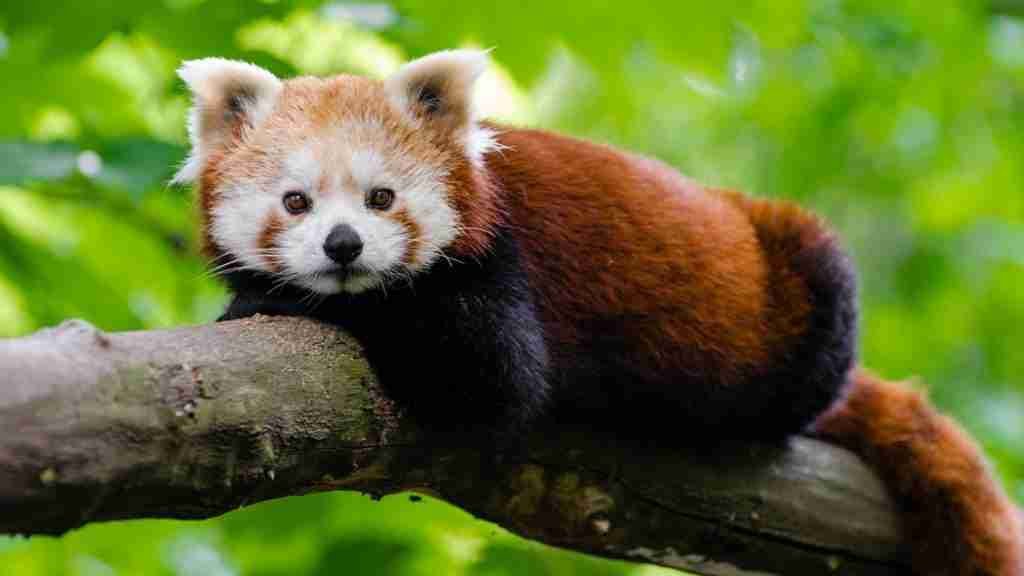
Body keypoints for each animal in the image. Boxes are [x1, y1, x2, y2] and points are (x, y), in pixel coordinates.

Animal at [176, 50, 1024, 573]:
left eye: (381, 197)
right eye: (296, 201)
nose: (344, 246)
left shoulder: (501, 269)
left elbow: (488, 374)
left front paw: (270, 297)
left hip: (806, 280)